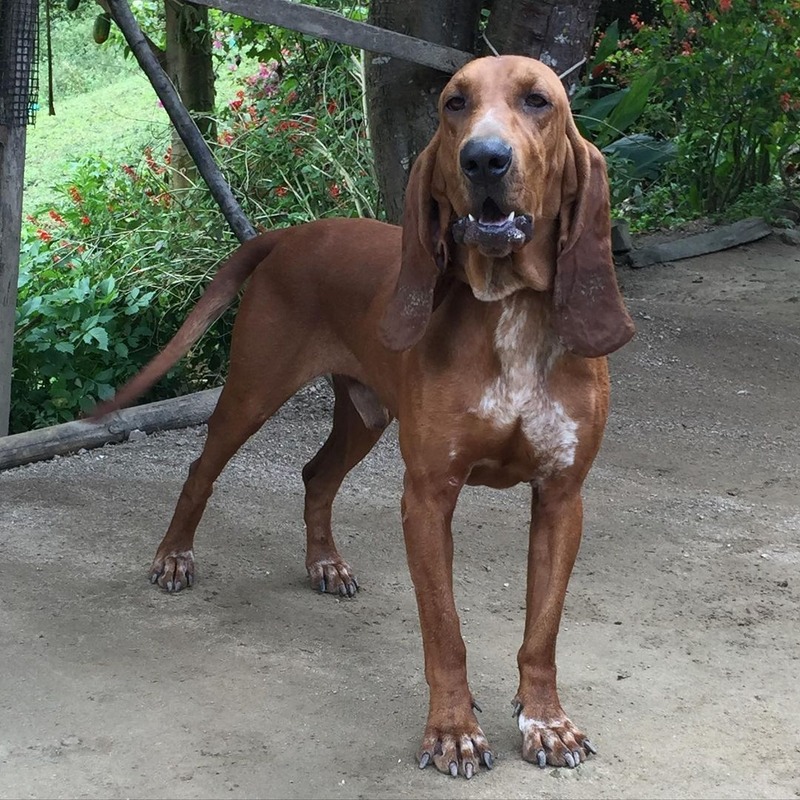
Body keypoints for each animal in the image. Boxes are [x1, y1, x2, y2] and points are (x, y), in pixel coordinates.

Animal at [95, 57, 632, 780]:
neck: (511, 309)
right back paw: (174, 558)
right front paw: (454, 731)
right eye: (454, 102)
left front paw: (546, 722)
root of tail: (289, 235)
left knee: (316, 475)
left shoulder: (561, 497)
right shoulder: (428, 498)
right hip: (252, 394)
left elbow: (541, 634)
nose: (483, 159)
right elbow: (445, 632)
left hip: (364, 417)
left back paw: (325, 563)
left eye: (538, 101)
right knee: (201, 469)